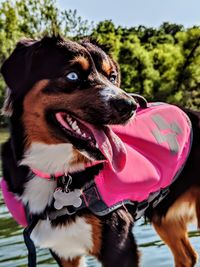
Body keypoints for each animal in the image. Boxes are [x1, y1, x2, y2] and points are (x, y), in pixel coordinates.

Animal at [0, 36, 200, 267]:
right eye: (73, 75)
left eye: (112, 76)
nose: (130, 105)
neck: (57, 171)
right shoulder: (64, 250)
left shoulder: (119, 246)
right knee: (186, 256)